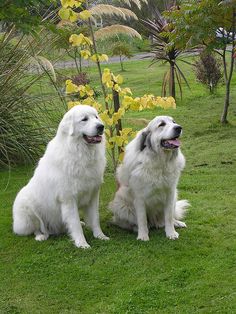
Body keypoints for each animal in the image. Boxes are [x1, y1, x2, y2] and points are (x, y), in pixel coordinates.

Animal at [12, 105, 109, 248]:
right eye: (84, 119)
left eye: (96, 117)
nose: (101, 126)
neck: (80, 153)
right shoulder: (68, 199)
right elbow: (74, 223)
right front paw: (82, 244)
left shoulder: (93, 195)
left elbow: (95, 219)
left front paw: (100, 236)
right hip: (27, 209)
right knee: (36, 228)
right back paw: (41, 236)